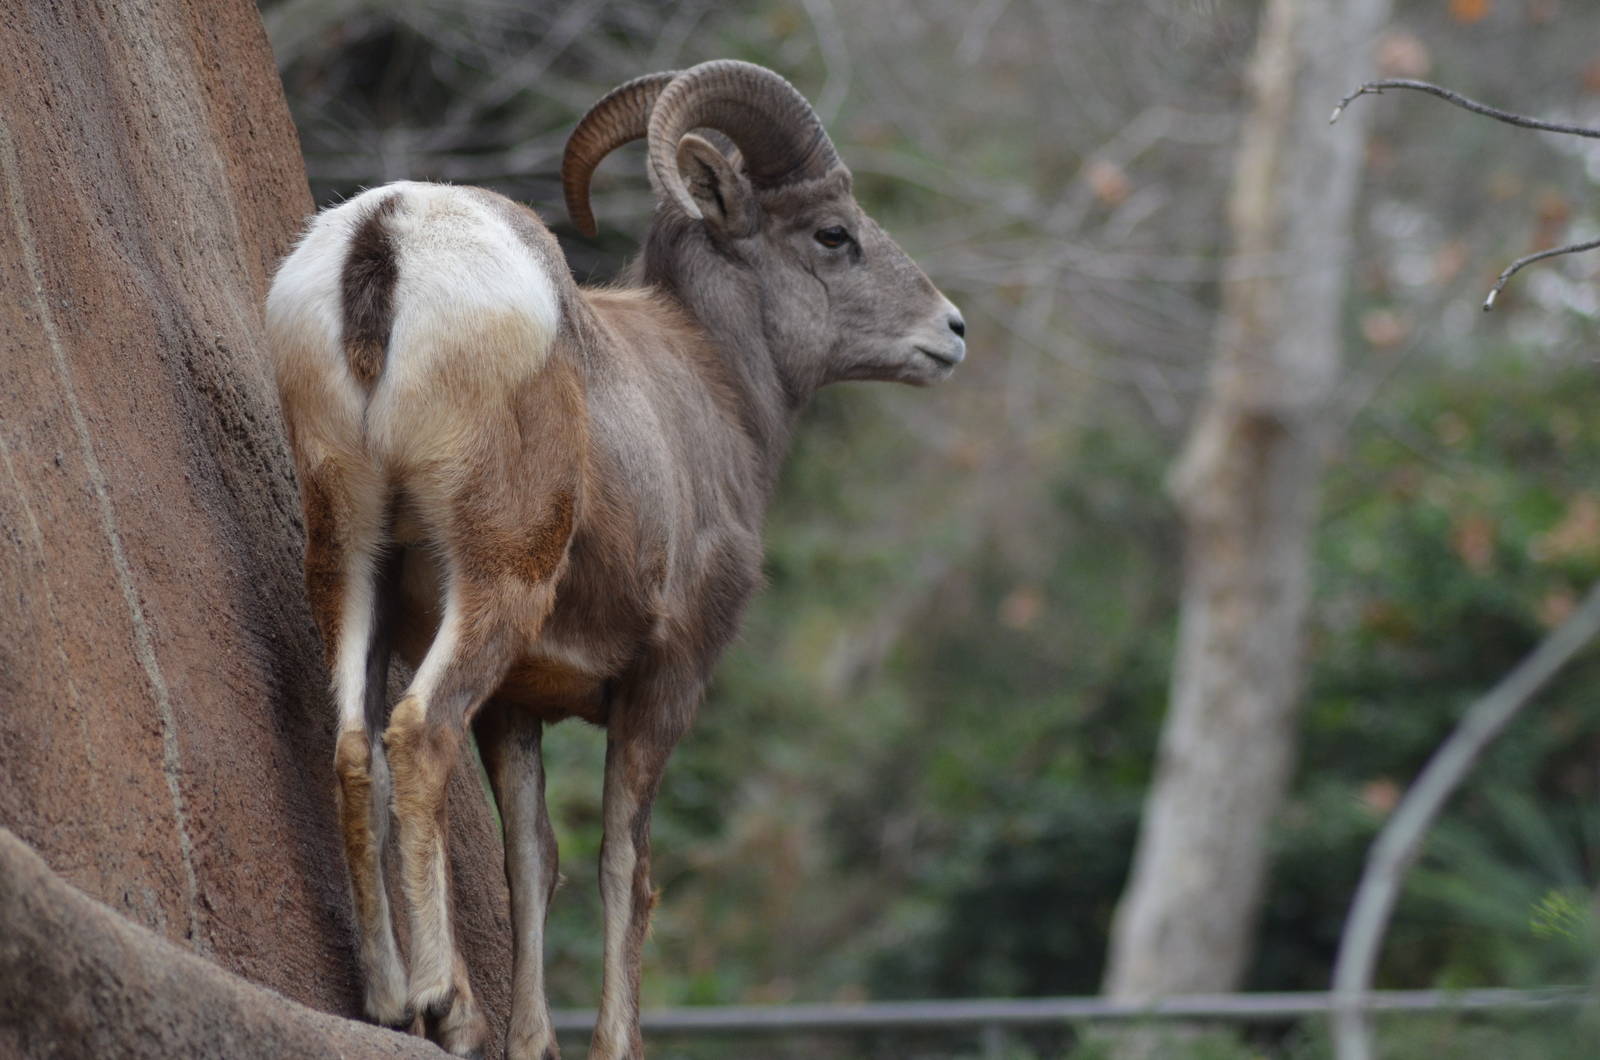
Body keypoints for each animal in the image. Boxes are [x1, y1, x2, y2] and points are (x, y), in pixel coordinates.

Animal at [265, 59, 966, 1060]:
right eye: (834, 234)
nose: (951, 330)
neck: (711, 383)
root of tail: (388, 237)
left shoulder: (517, 706)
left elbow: (532, 862)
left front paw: (531, 1043)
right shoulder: (665, 683)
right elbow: (625, 868)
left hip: (349, 559)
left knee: (358, 745)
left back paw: (391, 1000)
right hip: (497, 579)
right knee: (419, 732)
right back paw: (443, 1003)